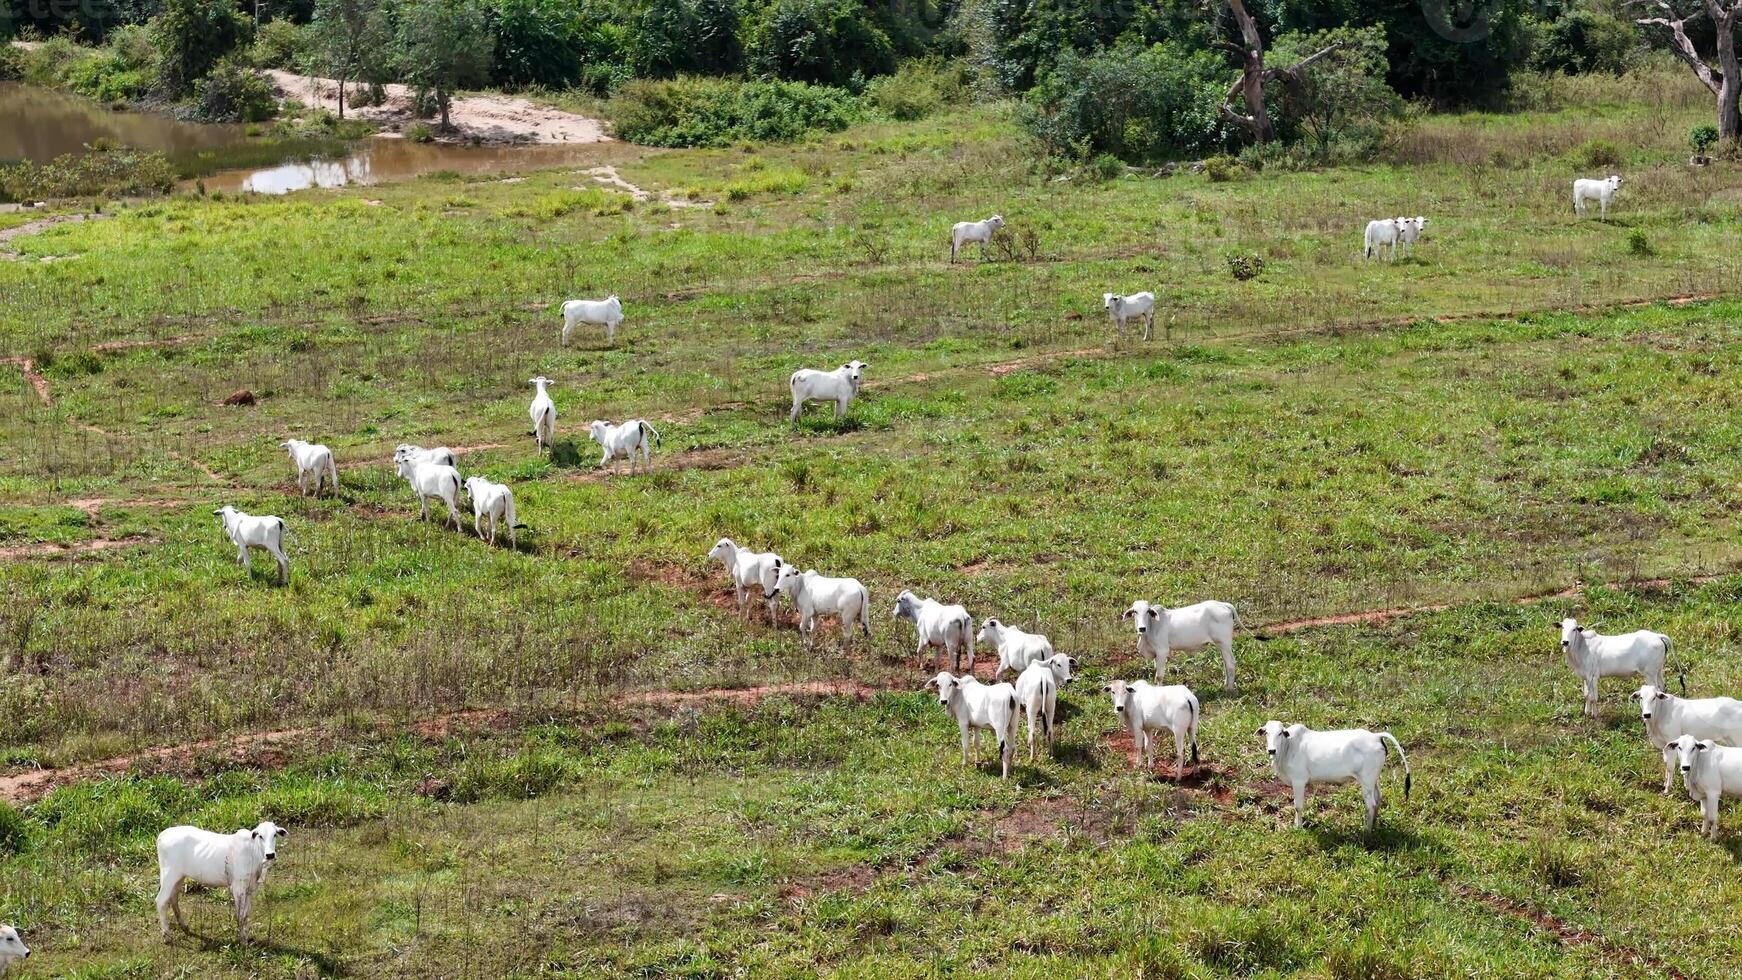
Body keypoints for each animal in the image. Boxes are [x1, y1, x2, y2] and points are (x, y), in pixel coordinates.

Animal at [156, 825, 285, 946]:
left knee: (173, 897)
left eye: (275, 834)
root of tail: (163, 834)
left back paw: (184, 926)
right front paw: (243, 942)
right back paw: (167, 936)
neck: (253, 853)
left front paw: (246, 938)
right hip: (169, 875)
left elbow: (245, 914)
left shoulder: (250, 889)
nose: (270, 855)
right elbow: (240, 915)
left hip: (179, 877)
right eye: (260, 836)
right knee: (161, 901)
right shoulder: (238, 887)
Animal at [1261, 724, 1407, 832]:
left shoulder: (1299, 781)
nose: (1271, 750)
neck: (1288, 747)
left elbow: (1298, 806)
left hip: (1366, 780)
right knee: (1378, 799)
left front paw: (1299, 828)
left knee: (1370, 804)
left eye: (1280, 733)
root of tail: (1376, 736)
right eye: (1266, 732)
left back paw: (1366, 831)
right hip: (1372, 780)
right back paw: (1374, 826)